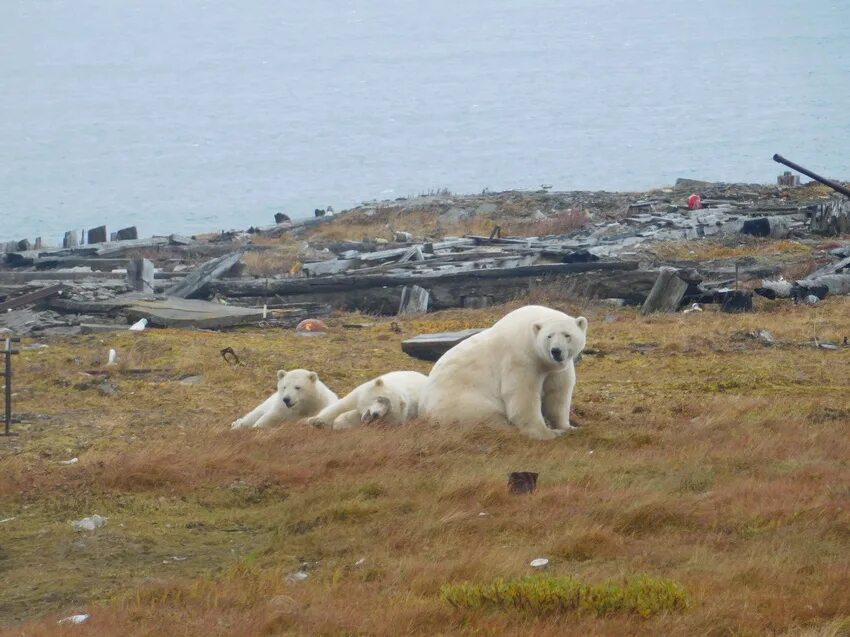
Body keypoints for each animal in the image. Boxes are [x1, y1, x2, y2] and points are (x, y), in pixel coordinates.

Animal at [420, 306, 588, 440]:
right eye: (549, 336)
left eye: (567, 335)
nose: (556, 351)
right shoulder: (520, 358)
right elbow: (523, 394)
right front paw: (547, 433)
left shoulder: (555, 367)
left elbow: (558, 393)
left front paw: (569, 427)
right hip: (461, 401)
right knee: (486, 416)